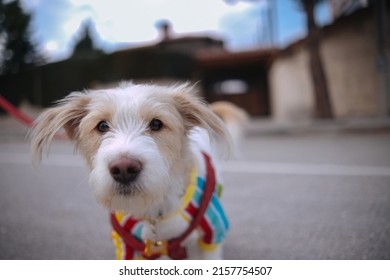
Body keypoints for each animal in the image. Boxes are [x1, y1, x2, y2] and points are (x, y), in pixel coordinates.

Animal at [32, 82, 247, 260]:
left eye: (156, 124)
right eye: (102, 126)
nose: (124, 169)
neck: (155, 216)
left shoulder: (211, 237)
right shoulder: (127, 246)